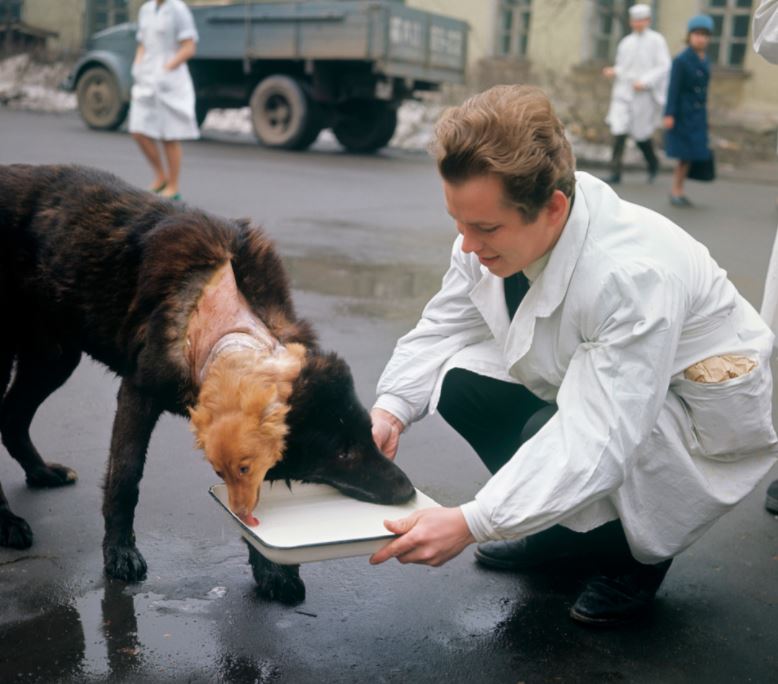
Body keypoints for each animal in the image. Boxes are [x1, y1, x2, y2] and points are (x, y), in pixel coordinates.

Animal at [1, 166, 412, 604]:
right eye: (342, 453)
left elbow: (247, 501)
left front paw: (271, 567)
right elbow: (125, 480)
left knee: (13, 416)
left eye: (369, 434)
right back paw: (8, 521)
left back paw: (40, 472)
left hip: (54, 358)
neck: (220, 322)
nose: (407, 491)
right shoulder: (138, 394)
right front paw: (120, 553)